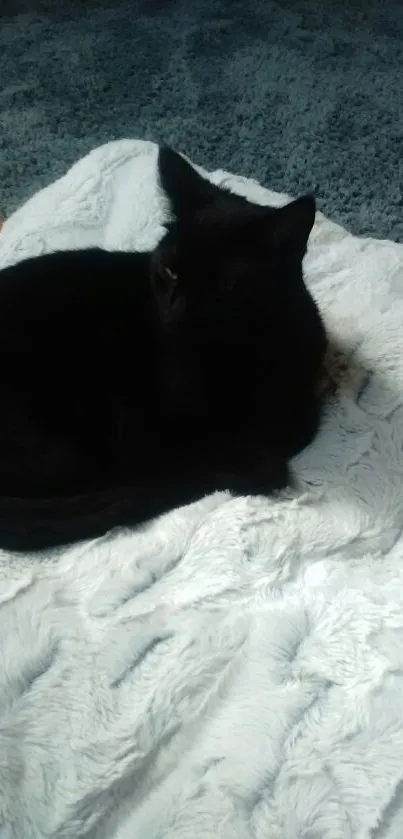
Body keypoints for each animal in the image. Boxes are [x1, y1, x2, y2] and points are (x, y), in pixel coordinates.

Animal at [0, 146, 326, 552]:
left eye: (225, 286)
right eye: (171, 272)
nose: (175, 310)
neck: (241, 353)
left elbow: (293, 424)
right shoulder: (156, 432)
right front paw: (252, 465)